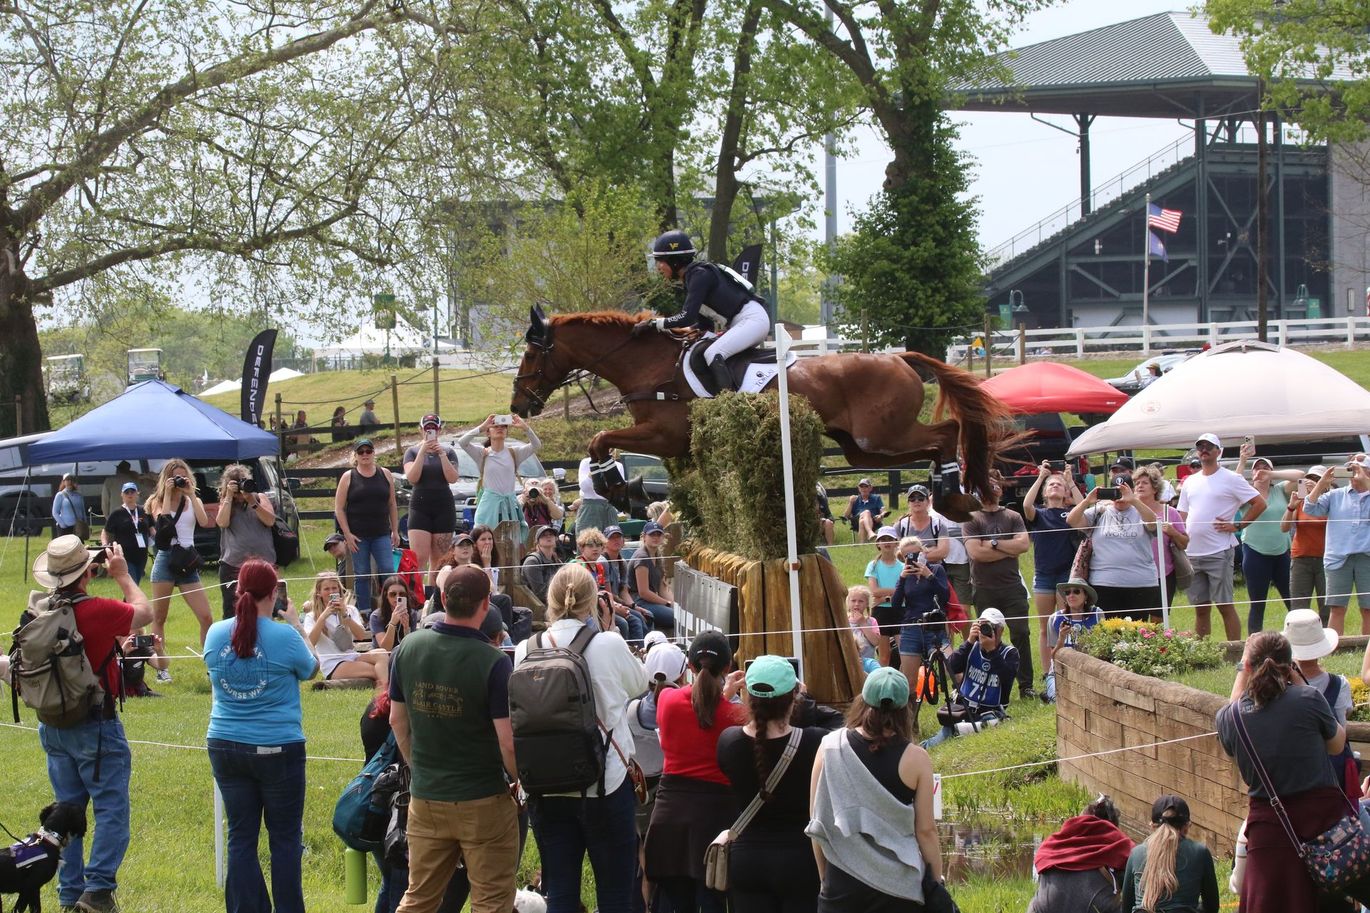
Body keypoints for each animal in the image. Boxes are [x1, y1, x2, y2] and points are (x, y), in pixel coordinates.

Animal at [509, 307, 1013, 515]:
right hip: (861, 448)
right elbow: (608, 447)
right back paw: (953, 496)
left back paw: (954, 498)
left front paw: (614, 487)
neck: (649, 363)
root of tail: (898, 358)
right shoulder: (670, 443)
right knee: (932, 441)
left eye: (532, 354)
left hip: (881, 435)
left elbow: (600, 440)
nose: (518, 404)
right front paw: (623, 489)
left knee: (946, 432)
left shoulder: (664, 435)